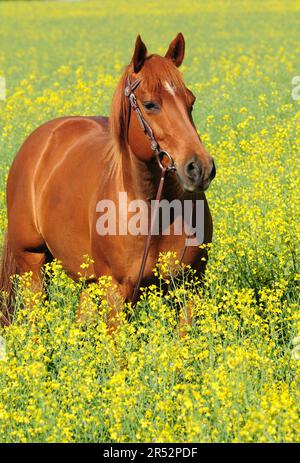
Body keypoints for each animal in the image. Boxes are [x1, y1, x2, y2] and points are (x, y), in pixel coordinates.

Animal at [0, 32, 216, 328]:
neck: (154, 209)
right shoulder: (117, 291)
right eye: (150, 104)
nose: (200, 168)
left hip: (89, 282)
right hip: (31, 262)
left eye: (190, 101)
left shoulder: (190, 287)